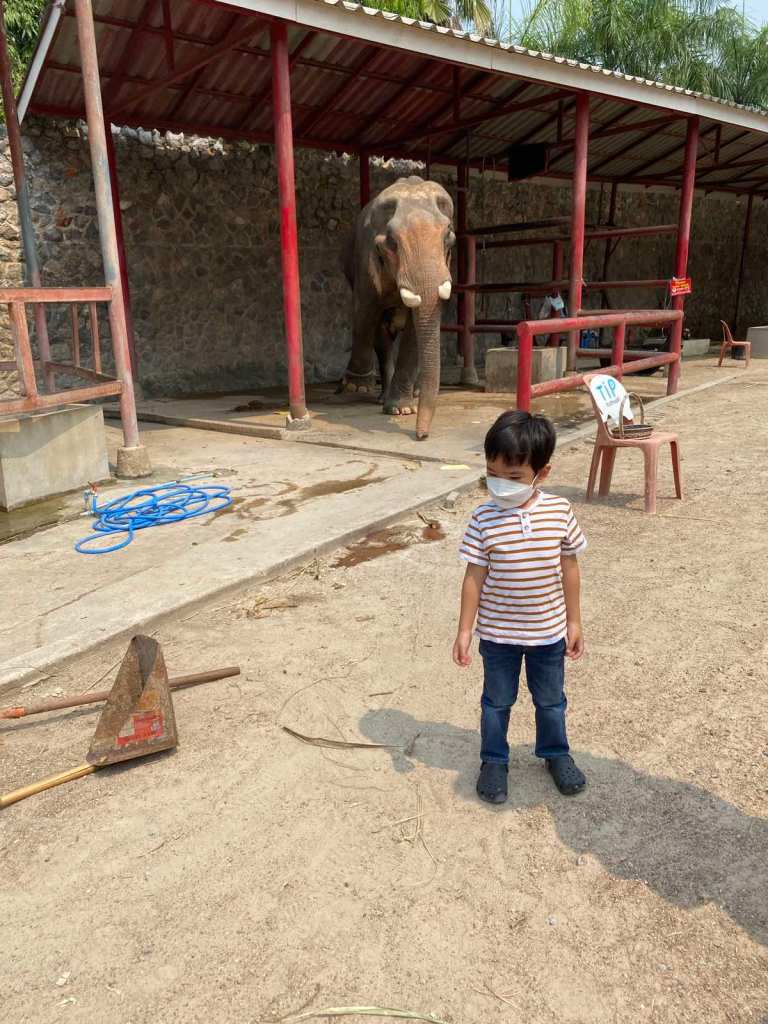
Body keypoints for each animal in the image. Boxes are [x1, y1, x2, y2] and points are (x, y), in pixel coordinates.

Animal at [340, 176, 455, 440]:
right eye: (392, 242)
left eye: (449, 237)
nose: (422, 436)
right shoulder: (365, 259)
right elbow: (365, 312)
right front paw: (355, 385)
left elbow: (414, 332)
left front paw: (402, 410)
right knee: (382, 337)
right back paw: (380, 396)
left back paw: (411, 396)